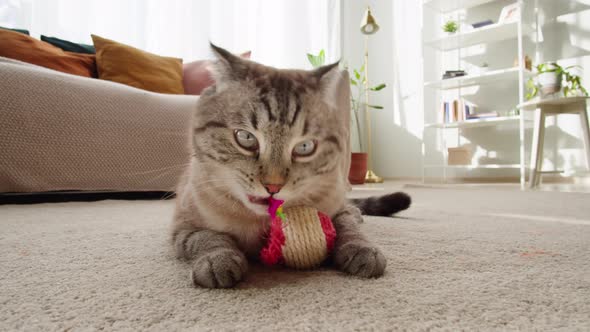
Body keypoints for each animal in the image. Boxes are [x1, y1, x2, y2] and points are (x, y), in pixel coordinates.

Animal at [171, 44, 412, 288]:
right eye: (245, 138)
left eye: (304, 147)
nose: (273, 186)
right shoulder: (183, 226)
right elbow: (208, 238)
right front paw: (217, 261)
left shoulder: (336, 206)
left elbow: (347, 228)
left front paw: (362, 250)